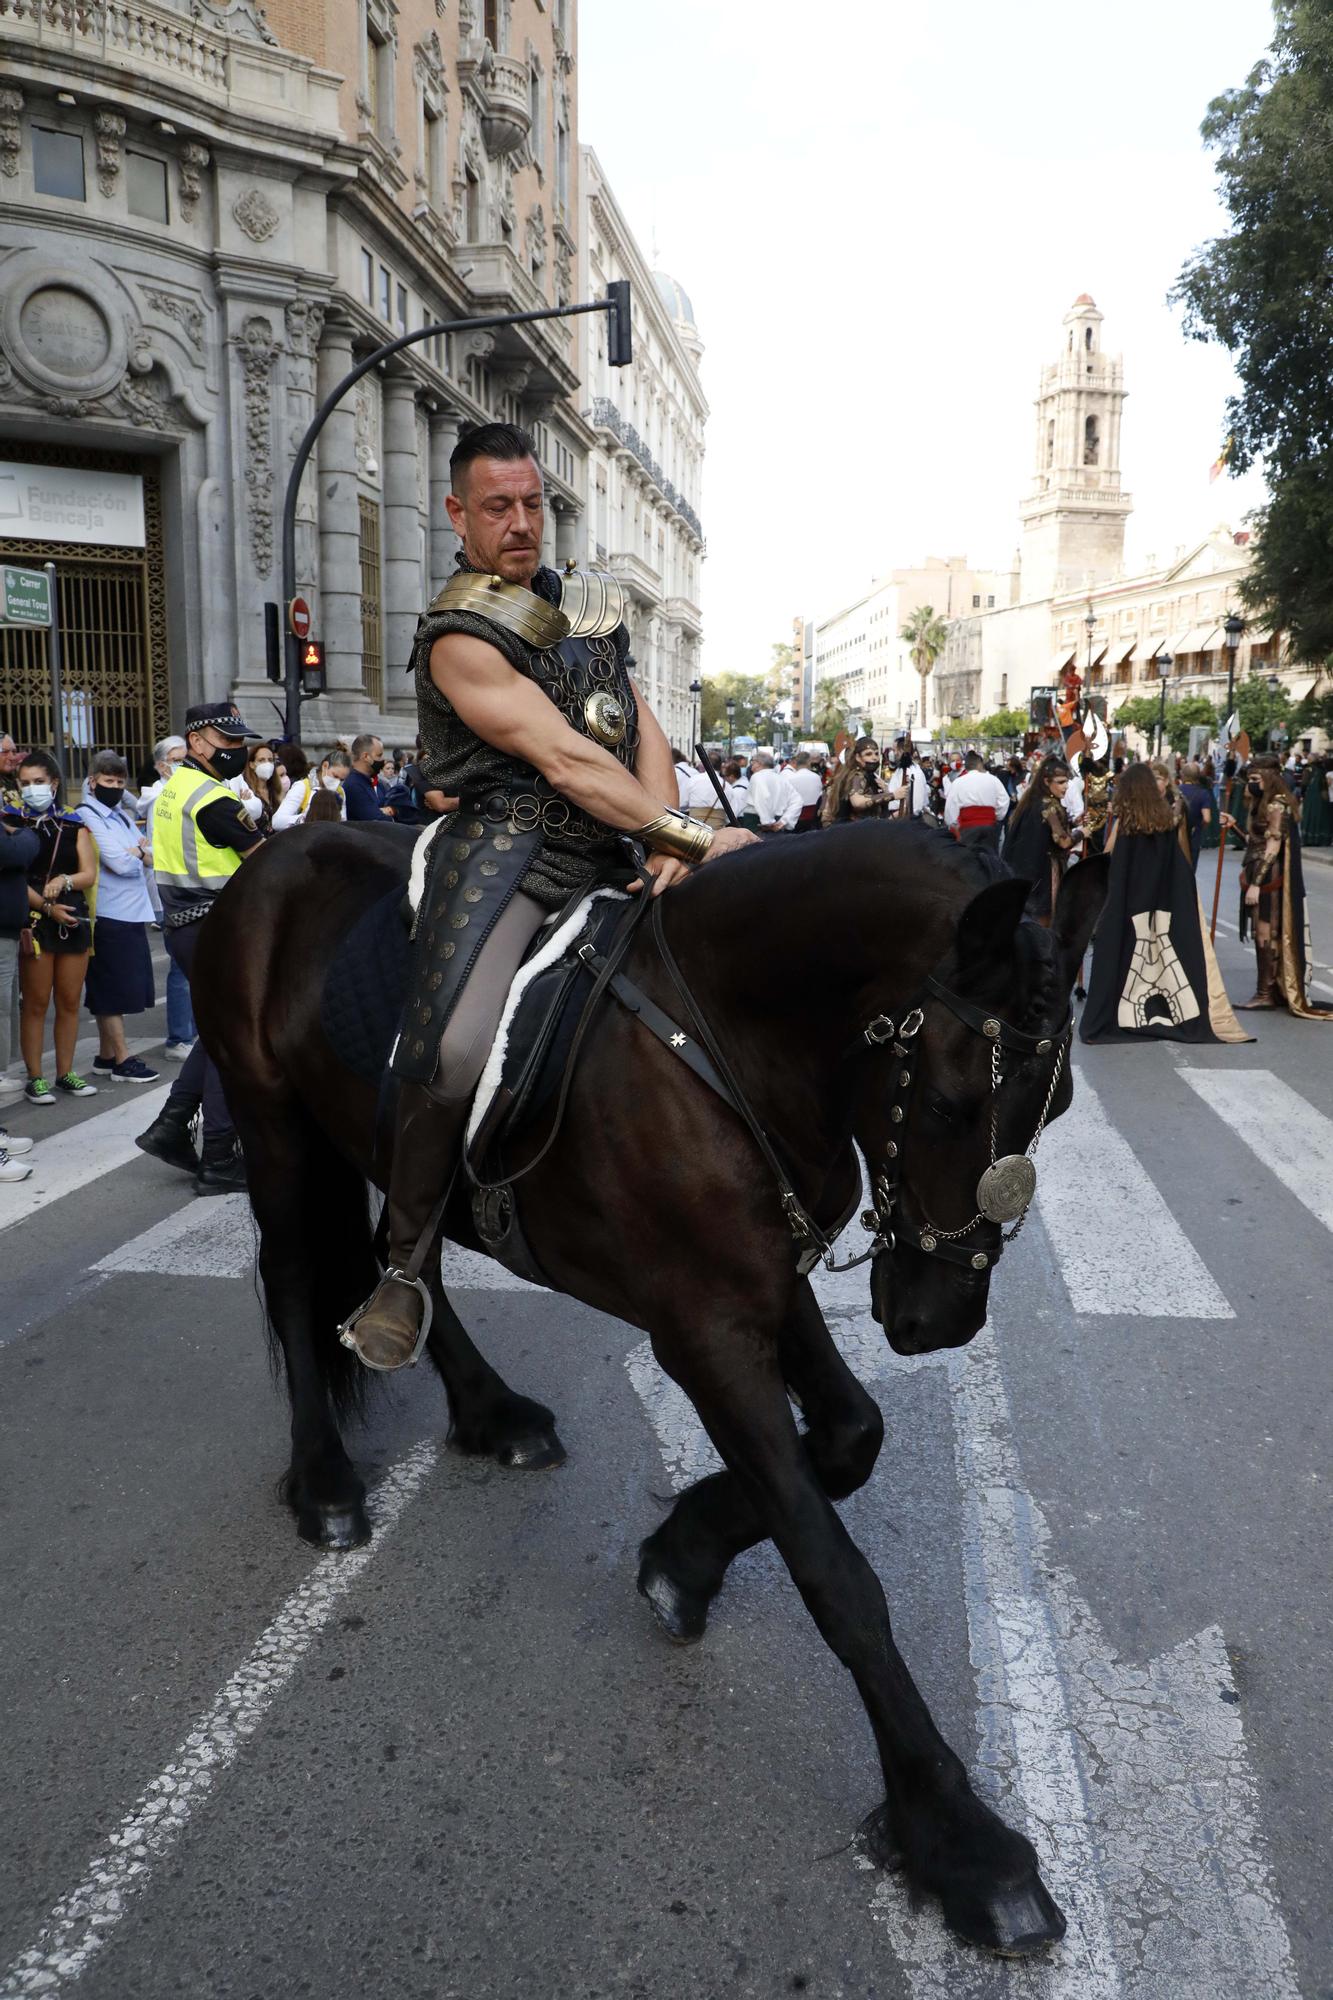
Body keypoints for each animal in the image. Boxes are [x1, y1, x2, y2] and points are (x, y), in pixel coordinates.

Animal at [189, 820, 1096, 1960]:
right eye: (944, 1102)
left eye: (1059, 1103)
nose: (939, 1318)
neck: (722, 1040)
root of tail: (270, 848)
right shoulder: (702, 1329)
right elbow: (836, 1572)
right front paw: (957, 1836)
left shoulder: (762, 1280)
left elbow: (850, 1435)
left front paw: (681, 1555)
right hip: (269, 1119)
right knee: (299, 1274)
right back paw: (324, 1482)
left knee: (414, 1252)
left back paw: (489, 1410)